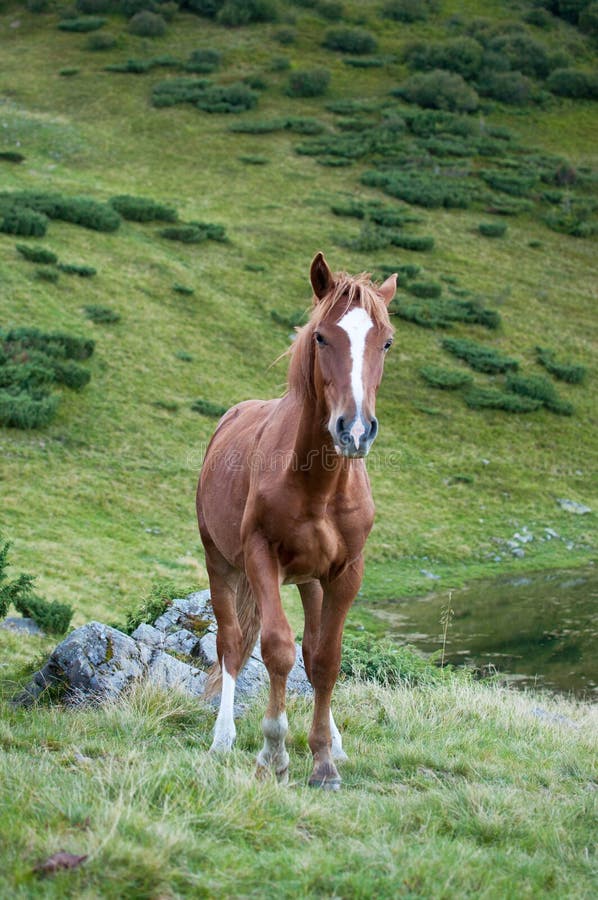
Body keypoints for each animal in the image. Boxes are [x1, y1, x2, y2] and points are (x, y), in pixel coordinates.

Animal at [196, 252, 396, 789]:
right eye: (322, 337)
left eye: (386, 341)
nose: (355, 430)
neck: (318, 486)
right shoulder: (260, 557)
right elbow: (276, 649)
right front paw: (273, 754)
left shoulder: (347, 572)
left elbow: (325, 660)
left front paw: (324, 760)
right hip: (221, 563)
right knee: (230, 643)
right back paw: (222, 738)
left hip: (309, 580)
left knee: (309, 650)